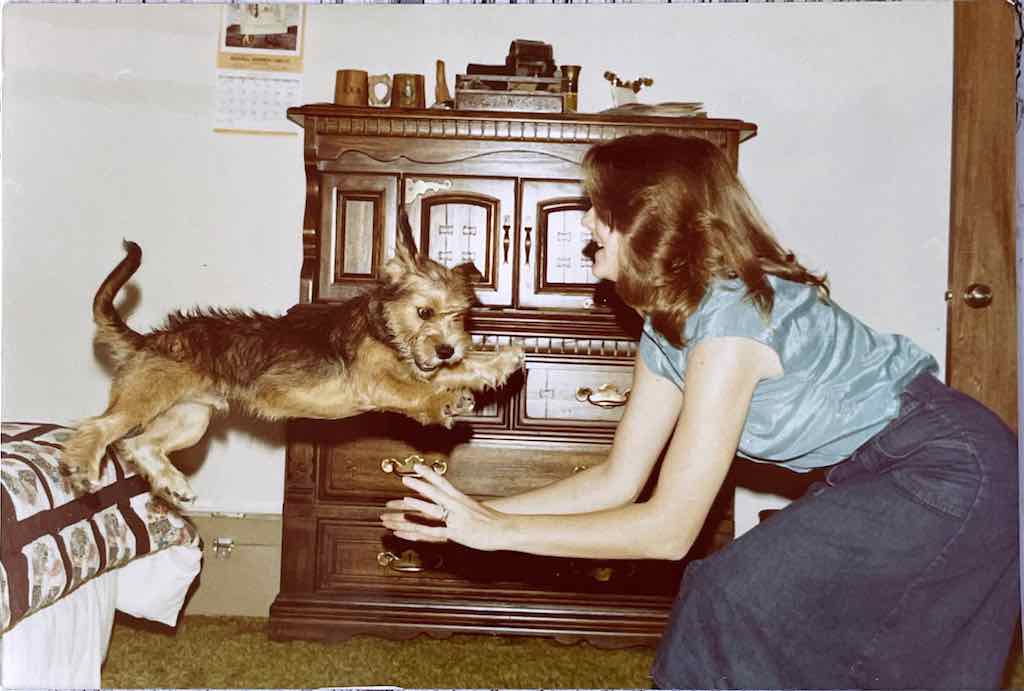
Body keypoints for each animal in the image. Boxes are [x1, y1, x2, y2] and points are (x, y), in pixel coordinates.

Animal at [61, 213, 528, 505]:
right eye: (424, 312)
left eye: (459, 317)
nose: (447, 347)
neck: (385, 327)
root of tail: (150, 340)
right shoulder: (378, 382)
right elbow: (417, 389)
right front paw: (443, 402)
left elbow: (452, 371)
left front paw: (497, 362)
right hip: (147, 399)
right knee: (99, 428)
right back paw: (82, 467)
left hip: (190, 419)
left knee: (139, 445)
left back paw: (173, 484)